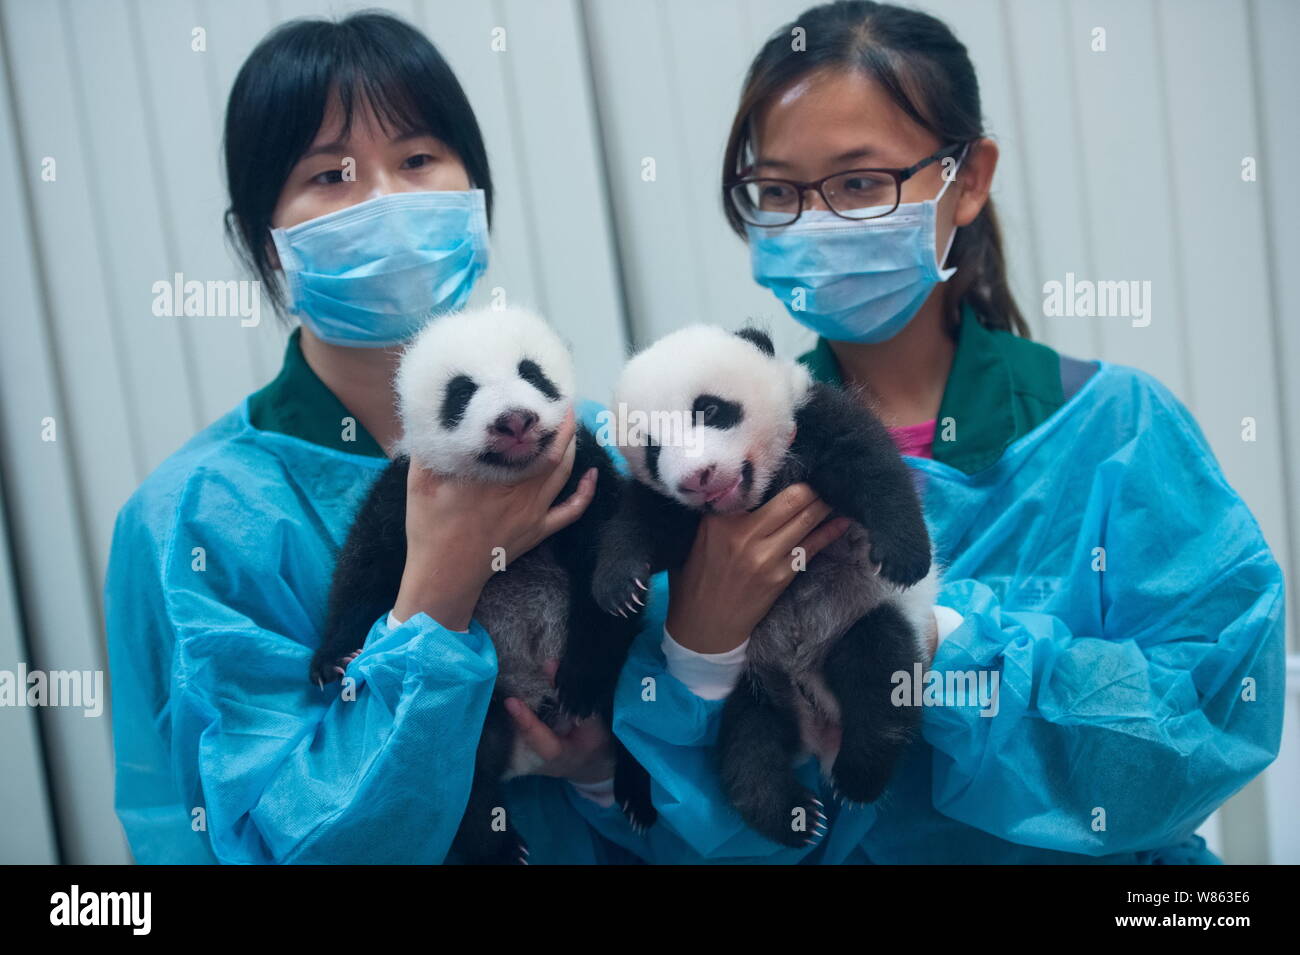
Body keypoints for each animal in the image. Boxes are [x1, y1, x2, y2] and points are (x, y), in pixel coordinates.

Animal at [310, 305, 655, 864]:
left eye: (532, 373)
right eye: (461, 392)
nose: (515, 420)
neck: (507, 482)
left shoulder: (581, 475)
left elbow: (604, 568)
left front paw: (581, 677)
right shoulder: (407, 496)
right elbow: (364, 567)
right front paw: (333, 659)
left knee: (631, 713)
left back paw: (635, 793)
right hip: (482, 706)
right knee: (449, 768)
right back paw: (495, 844)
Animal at [592, 325, 938, 848]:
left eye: (710, 410)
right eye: (652, 448)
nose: (698, 478)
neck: (758, 497)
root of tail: (818, 724)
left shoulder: (812, 417)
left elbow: (869, 462)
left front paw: (904, 556)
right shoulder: (677, 511)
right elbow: (641, 519)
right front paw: (616, 588)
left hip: (856, 614)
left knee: (881, 673)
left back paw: (858, 775)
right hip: (755, 682)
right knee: (748, 746)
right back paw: (793, 816)